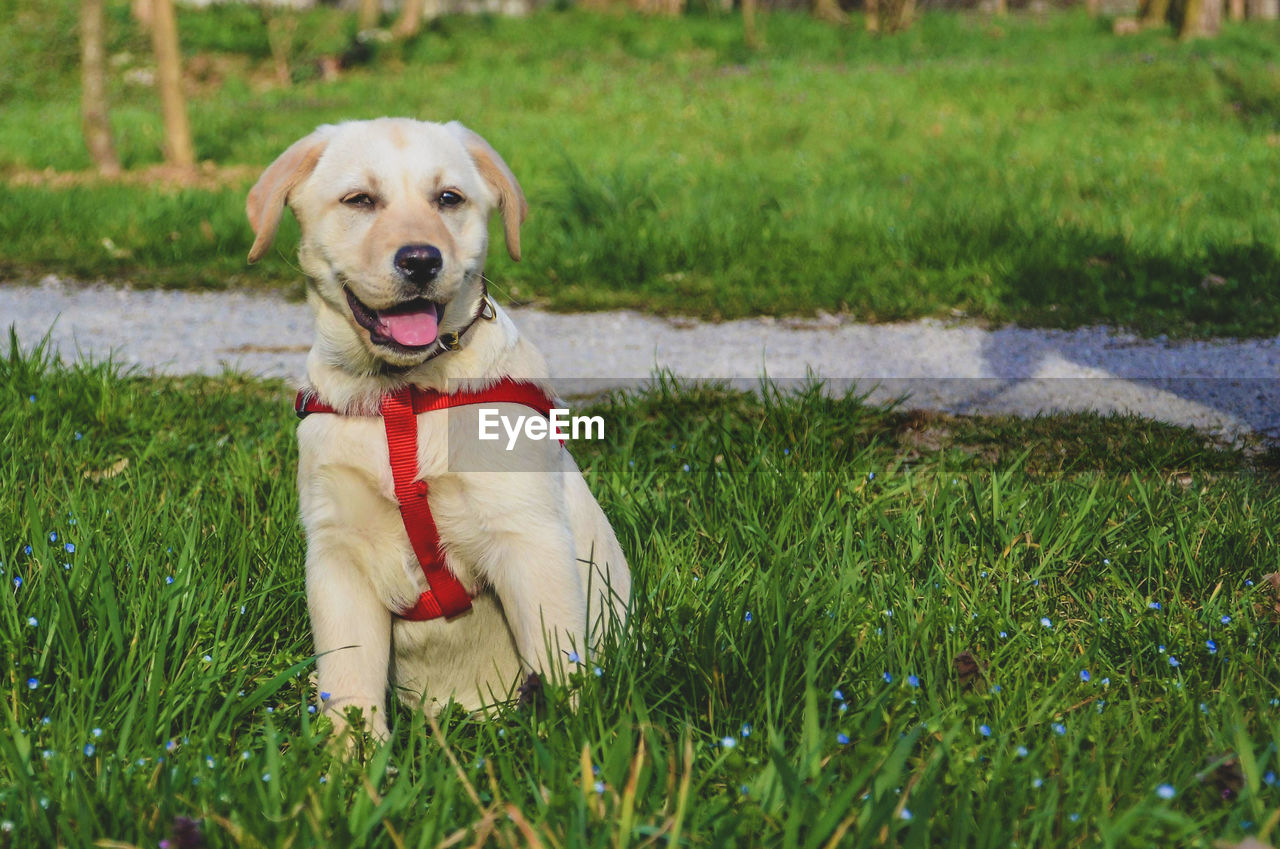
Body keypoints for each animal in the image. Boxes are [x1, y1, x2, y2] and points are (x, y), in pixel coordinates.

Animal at [243, 116, 629, 742]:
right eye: (360, 200)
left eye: (449, 198)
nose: (421, 261)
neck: (402, 397)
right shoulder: (337, 556)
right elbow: (349, 686)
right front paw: (353, 764)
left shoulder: (530, 540)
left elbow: (558, 666)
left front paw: (569, 749)